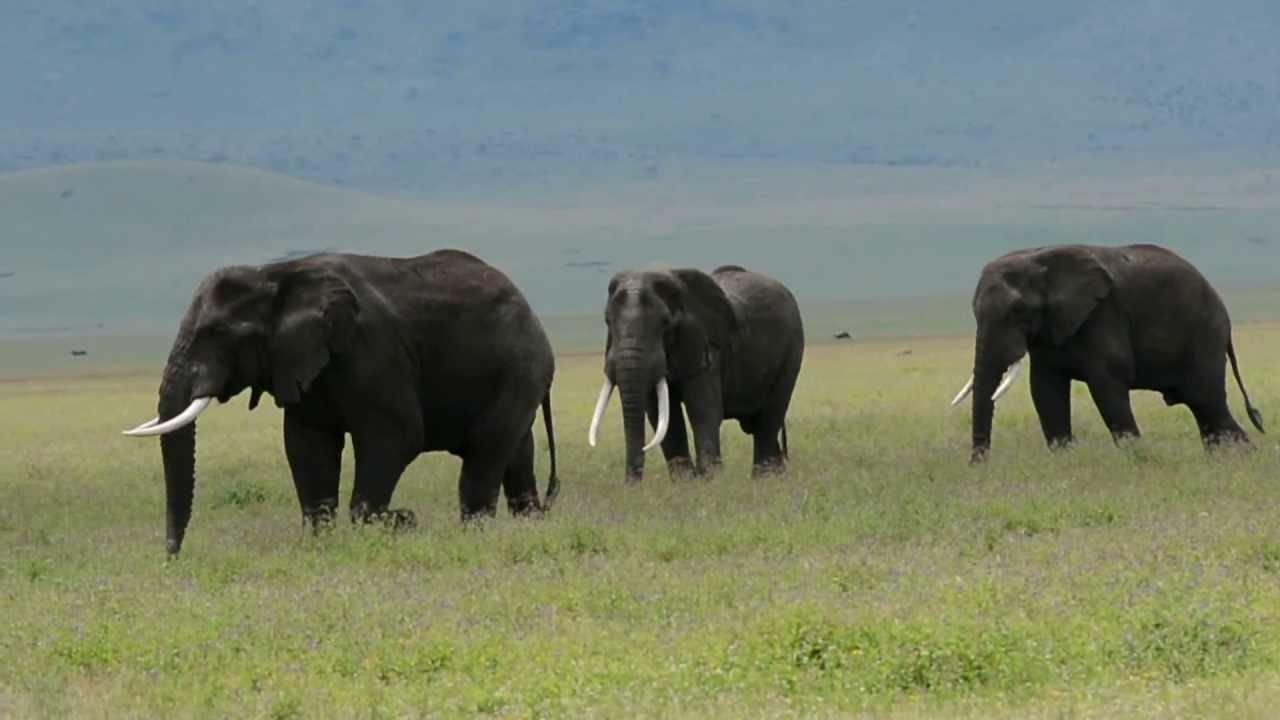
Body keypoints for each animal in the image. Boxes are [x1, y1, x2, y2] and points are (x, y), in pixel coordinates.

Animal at [122, 249, 559, 555]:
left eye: (220, 332)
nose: (172, 556)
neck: (275, 275)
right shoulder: (300, 363)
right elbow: (306, 447)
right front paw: (322, 543)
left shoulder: (373, 350)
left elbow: (397, 435)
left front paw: (397, 521)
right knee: (517, 454)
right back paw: (528, 525)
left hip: (521, 367)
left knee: (485, 455)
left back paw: (476, 535)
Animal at [587, 265, 804, 482]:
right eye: (607, 321)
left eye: (666, 323)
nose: (631, 486)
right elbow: (661, 416)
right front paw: (686, 484)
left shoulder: (706, 345)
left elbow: (703, 409)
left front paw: (710, 482)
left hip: (793, 348)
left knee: (770, 418)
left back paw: (764, 479)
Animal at [951, 243, 1264, 462]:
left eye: (1017, 311)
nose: (978, 465)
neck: (1039, 258)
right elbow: (1044, 390)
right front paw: (1065, 460)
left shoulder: (1102, 315)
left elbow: (1107, 385)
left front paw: (1136, 458)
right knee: (1205, 410)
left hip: (1204, 335)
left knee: (1207, 401)